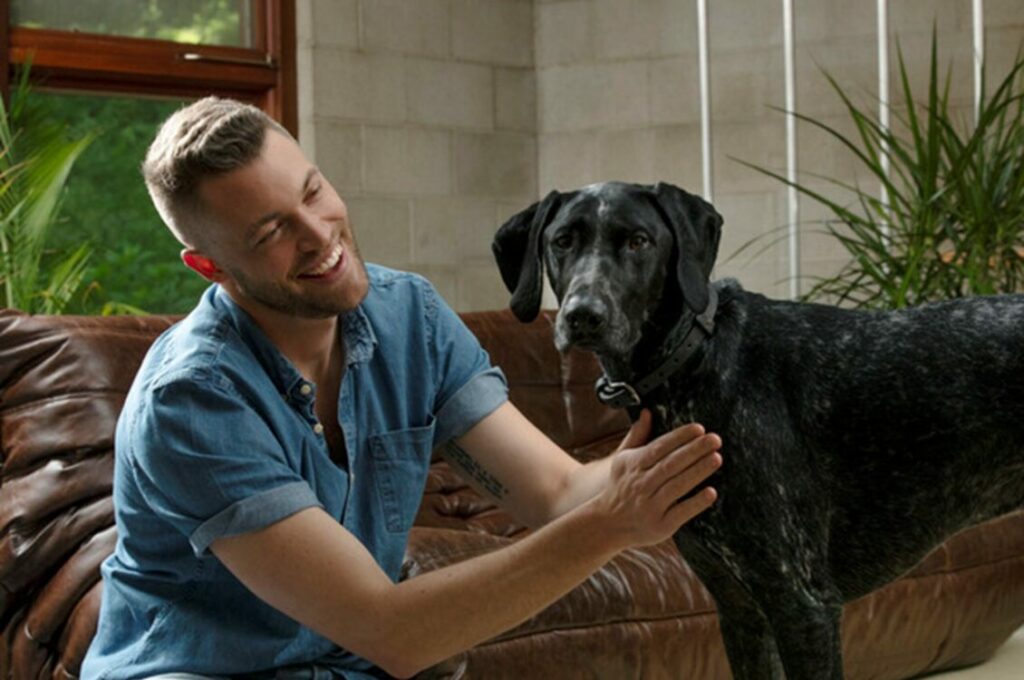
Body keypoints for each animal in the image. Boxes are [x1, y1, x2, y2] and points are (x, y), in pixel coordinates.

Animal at [493, 182, 1024, 680]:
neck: (694, 358)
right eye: (563, 241)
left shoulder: (802, 605)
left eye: (639, 241)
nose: (583, 315)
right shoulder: (740, 611)